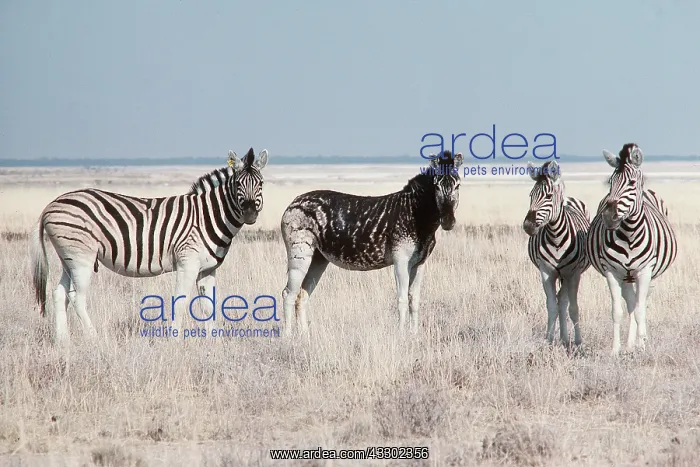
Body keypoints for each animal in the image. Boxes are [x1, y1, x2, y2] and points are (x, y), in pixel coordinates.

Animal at [30, 147, 269, 344]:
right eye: (238, 184)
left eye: (261, 184)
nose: (249, 214)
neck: (207, 217)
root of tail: (50, 205)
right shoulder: (188, 263)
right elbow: (180, 302)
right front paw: (174, 341)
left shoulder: (208, 268)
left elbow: (209, 305)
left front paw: (214, 343)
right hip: (82, 258)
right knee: (77, 298)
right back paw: (94, 339)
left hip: (67, 258)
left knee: (59, 294)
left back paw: (63, 342)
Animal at [279, 150, 464, 336]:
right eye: (436, 187)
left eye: (458, 186)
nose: (448, 222)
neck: (415, 215)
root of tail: (294, 202)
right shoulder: (400, 260)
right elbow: (402, 299)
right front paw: (401, 336)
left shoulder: (420, 263)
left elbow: (414, 300)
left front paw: (414, 334)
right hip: (299, 253)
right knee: (288, 293)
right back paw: (288, 337)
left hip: (318, 258)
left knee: (302, 295)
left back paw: (305, 337)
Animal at [522, 160, 591, 347]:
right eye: (531, 195)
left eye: (548, 196)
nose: (528, 226)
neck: (556, 237)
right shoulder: (546, 272)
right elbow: (551, 306)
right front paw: (549, 340)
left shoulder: (573, 274)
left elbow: (573, 308)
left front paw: (579, 343)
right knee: (560, 301)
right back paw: (562, 338)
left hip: (568, 275)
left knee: (565, 301)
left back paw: (567, 339)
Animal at [586, 143, 677, 356]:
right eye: (610, 182)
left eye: (631, 182)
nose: (609, 216)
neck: (629, 233)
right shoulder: (612, 272)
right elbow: (618, 311)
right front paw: (616, 350)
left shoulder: (645, 271)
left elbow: (639, 310)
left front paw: (642, 347)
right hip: (626, 276)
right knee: (630, 303)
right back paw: (629, 344)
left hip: (647, 275)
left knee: (639, 304)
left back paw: (638, 342)